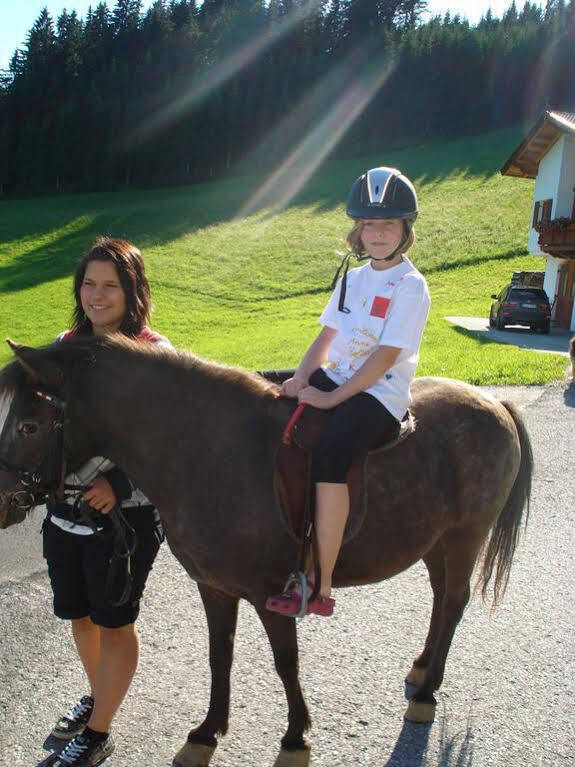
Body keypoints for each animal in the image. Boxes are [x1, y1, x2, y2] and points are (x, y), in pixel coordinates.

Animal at [0, 338, 536, 767]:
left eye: (29, 425)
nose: (3, 500)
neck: (208, 451)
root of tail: (493, 402)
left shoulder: (270, 594)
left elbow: (285, 663)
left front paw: (296, 737)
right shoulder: (215, 589)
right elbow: (220, 656)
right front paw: (207, 732)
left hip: (466, 536)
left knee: (454, 602)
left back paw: (425, 695)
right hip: (435, 541)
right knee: (442, 597)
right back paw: (425, 667)